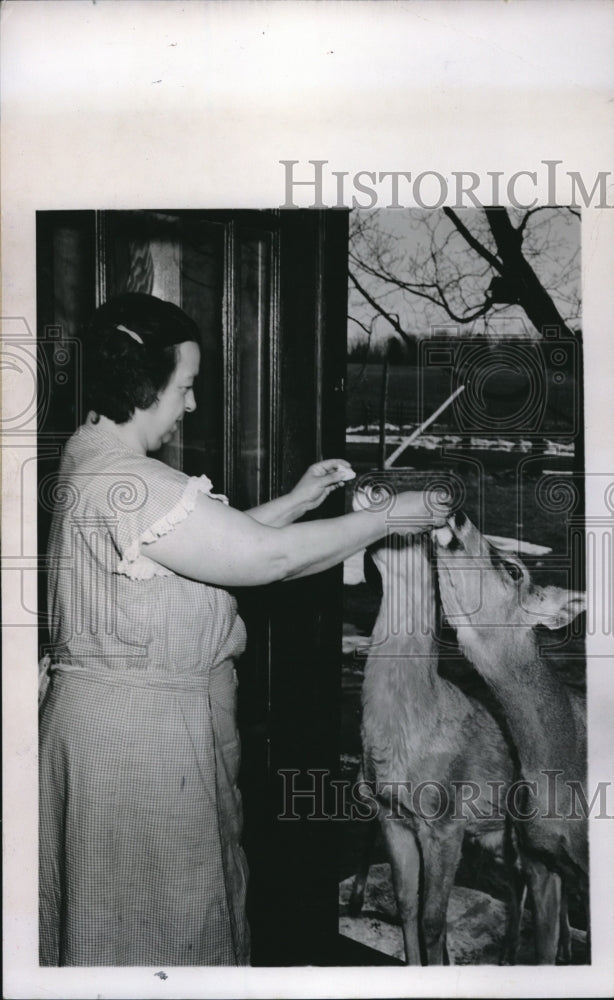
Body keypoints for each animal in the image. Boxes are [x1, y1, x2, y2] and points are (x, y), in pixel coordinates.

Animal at [346, 524, 568, 968]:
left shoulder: (446, 822)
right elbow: (407, 905)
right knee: (518, 884)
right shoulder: (392, 816)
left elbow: (433, 919)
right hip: (497, 837)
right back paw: (509, 953)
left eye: (419, 545)